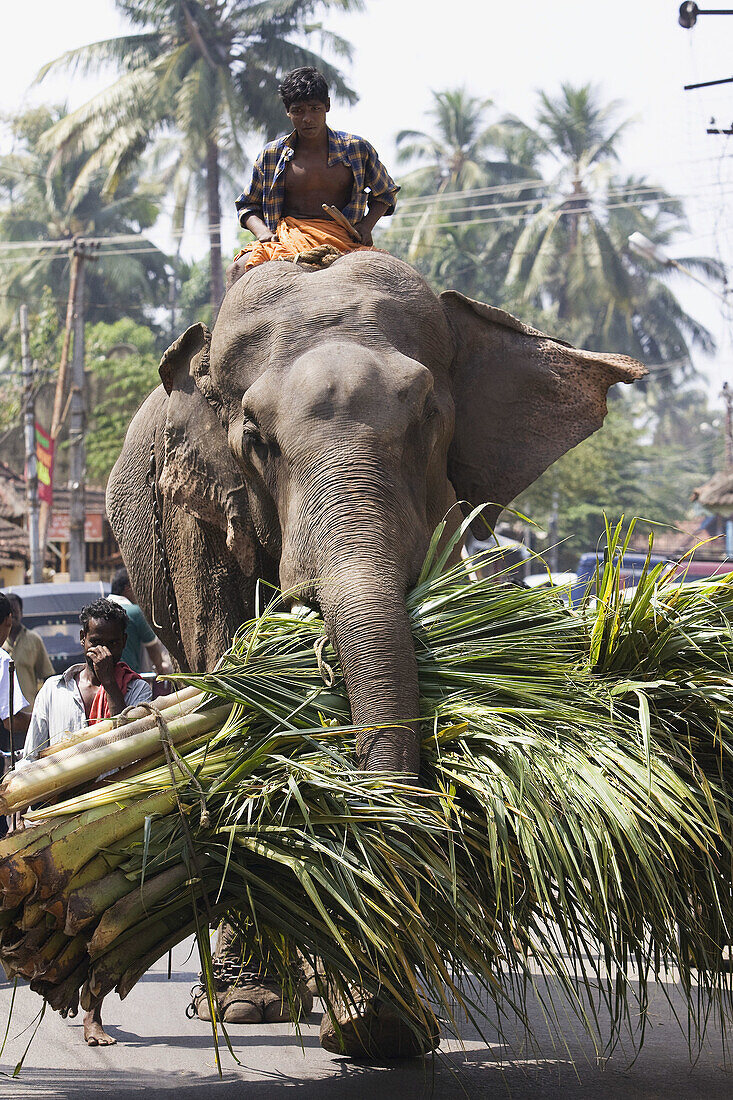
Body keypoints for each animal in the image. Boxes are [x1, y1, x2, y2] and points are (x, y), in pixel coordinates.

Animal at [105, 247, 642, 1047]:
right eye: (255, 438)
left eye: (428, 418)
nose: (373, 1017)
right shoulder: (191, 516)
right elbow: (225, 665)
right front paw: (259, 1004)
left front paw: (388, 1020)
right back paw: (253, 999)